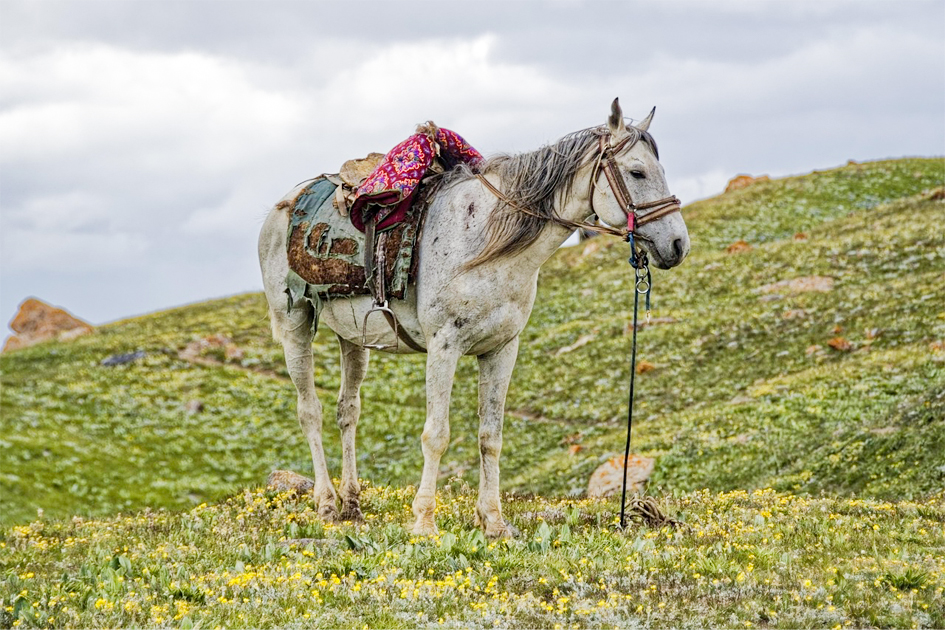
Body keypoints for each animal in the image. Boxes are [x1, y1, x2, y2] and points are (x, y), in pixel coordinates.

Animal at [258, 99, 690, 538]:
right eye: (637, 172)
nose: (678, 245)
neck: (486, 240)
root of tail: (285, 204)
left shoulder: (501, 350)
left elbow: (490, 436)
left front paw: (494, 522)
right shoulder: (444, 347)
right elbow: (436, 434)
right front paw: (424, 522)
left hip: (352, 339)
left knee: (348, 411)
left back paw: (351, 504)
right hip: (295, 325)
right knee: (310, 411)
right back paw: (327, 504)